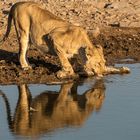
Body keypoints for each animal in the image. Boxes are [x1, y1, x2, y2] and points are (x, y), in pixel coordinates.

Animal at [1, 1, 130, 77]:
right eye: (98, 63)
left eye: (103, 62)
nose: (103, 73)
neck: (81, 45)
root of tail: (17, 3)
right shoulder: (53, 37)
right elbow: (64, 60)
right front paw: (65, 73)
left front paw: (122, 69)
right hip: (23, 31)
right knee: (21, 52)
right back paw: (25, 66)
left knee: (25, 52)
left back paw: (29, 64)